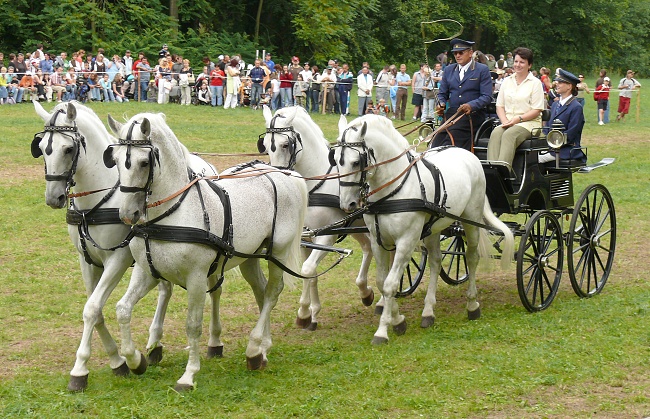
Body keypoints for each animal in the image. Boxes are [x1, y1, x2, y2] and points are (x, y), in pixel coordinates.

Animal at [31, 102, 215, 394]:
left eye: (68, 149)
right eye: (41, 147)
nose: (54, 197)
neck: (97, 200)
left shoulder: (117, 259)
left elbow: (92, 308)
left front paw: (82, 369)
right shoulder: (87, 261)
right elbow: (95, 310)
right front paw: (117, 360)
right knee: (165, 289)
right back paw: (154, 345)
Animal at [105, 111, 308, 390]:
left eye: (144, 162)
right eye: (114, 160)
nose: (127, 214)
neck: (171, 214)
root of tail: (282, 173)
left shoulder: (197, 278)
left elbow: (193, 325)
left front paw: (189, 374)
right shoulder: (147, 273)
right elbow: (122, 309)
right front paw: (135, 360)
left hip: (278, 252)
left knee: (272, 293)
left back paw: (254, 349)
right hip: (250, 257)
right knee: (261, 291)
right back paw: (263, 347)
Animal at [256, 107, 372, 332]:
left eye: (285, 144)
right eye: (264, 146)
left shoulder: (326, 237)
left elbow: (308, 269)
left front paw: (305, 312)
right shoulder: (305, 239)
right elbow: (310, 274)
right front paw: (311, 314)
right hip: (357, 226)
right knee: (369, 248)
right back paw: (366, 292)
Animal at [330, 115, 512, 344]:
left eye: (356, 162)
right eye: (336, 161)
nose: (347, 204)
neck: (392, 189)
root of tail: (468, 154)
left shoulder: (406, 241)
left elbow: (390, 284)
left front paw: (383, 330)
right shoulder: (378, 241)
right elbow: (381, 282)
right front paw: (398, 320)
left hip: (471, 220)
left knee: (472, 257)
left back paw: (472, 305)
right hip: (433, 229)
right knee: (435, 261)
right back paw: (428, 312)